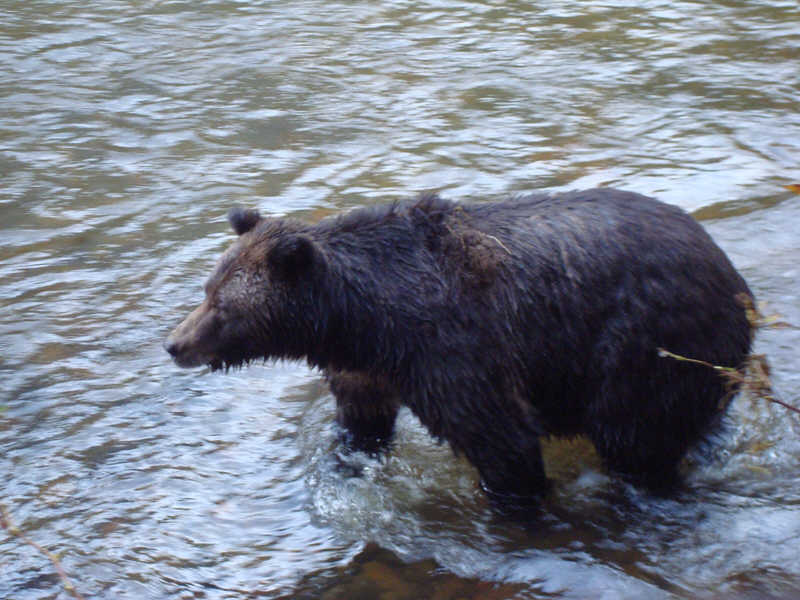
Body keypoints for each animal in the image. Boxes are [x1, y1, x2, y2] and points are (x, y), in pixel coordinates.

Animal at [165, 188, 753, 508]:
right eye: (208, 288)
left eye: (222, 305)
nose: (175, 344)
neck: (360, 320)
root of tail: (732, 274)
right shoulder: (366, 368)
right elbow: (362, 422)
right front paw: (347, 465)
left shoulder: (453, 346)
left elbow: (501, 438)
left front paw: (515, 501)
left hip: (646, 341)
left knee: (633, 435)